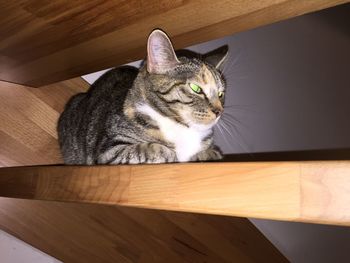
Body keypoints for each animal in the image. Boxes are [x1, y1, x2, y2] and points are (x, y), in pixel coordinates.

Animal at [58, 29, 228, 165]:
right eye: (196, 88)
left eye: (221, 94)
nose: (219, 111)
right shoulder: (108, 152)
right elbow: (150, 149)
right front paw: (172, 154)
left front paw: (210, 154)